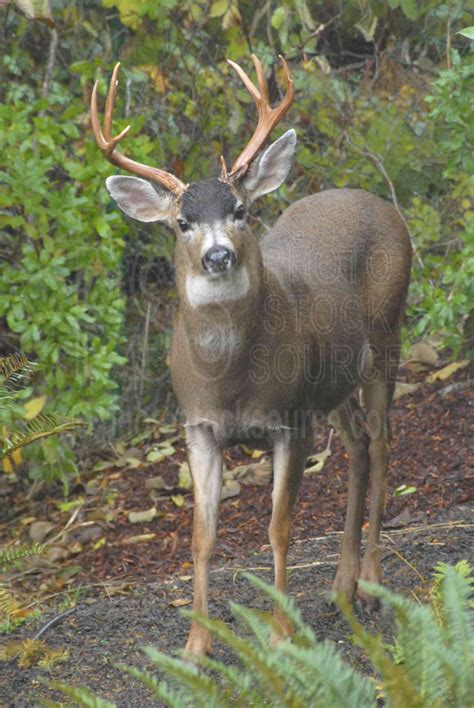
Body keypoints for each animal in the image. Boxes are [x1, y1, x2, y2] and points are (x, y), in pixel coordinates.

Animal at [90, 58, 410, 656]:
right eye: (181, 223)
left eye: (239, 209)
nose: (219, 255)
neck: (230, 381)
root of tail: (377, 201)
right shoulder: (198, 426)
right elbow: (202, 536)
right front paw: (195, 647)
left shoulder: (290, 419)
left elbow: (279, 527)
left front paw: (283, 634)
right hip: (333, 381)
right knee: (357, 444)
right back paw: (341, 586)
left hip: (388, 335)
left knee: (380, 443)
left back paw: (372, 584)